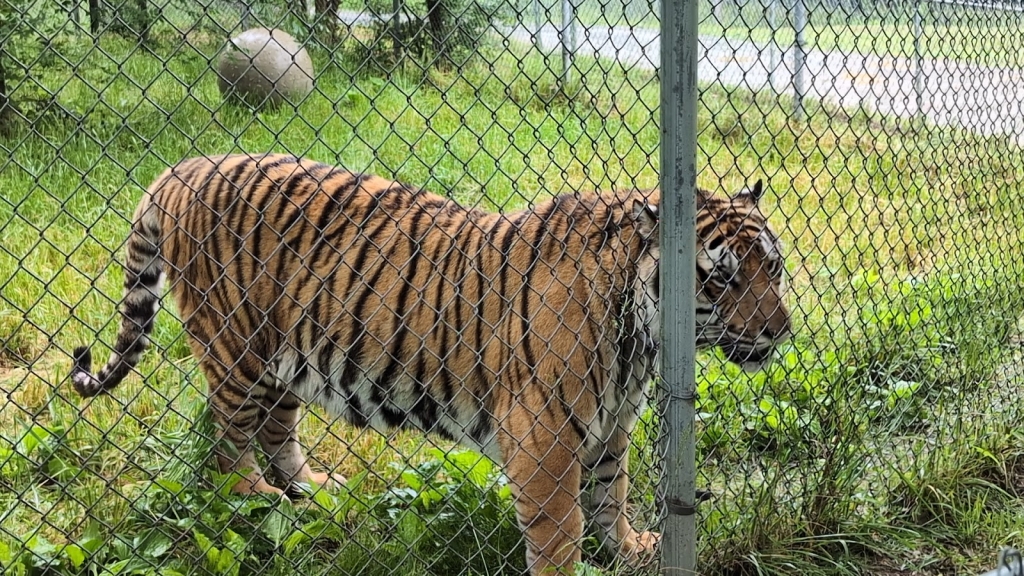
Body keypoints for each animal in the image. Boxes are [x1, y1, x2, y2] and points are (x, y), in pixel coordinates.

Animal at [69, 153, 791, 575]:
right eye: (722, 278)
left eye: (774, 268)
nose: (780, 332)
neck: (643, 336)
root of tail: (184, 167)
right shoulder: (544, 436)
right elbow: (561, 529)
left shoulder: (611, 424)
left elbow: (610, 494)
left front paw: (631, 550)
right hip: (236, 350)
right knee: (226, 447)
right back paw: (258, 499)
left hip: (286, 353)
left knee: (276, 428)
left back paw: (313, 492)